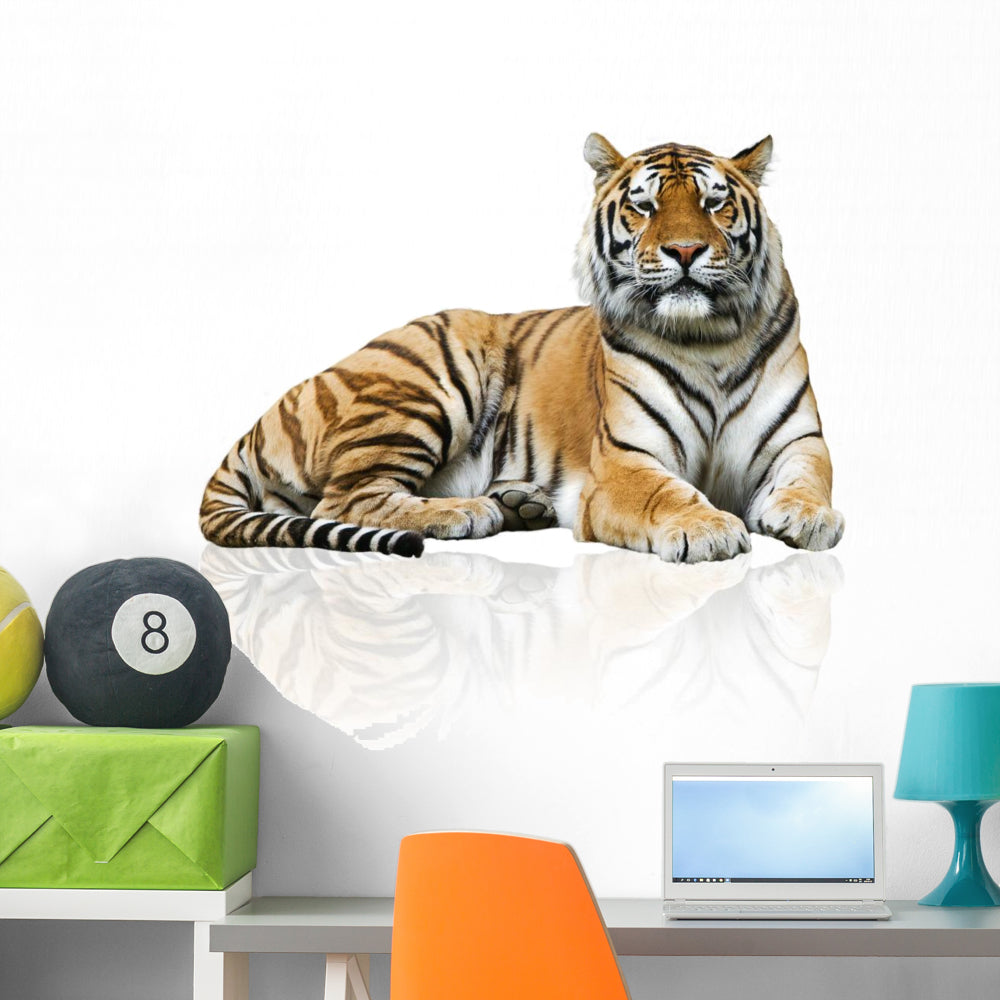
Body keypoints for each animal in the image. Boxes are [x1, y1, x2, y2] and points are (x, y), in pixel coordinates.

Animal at [200, 133, 844, 563]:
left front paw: (809, 518)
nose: (685, 251)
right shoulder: (626, 460)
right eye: (645, 206)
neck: (708, 341)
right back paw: (468, 512)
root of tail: (259, 422)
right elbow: (666, 492)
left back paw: (520, 505)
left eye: (714, 203)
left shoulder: (799, 441)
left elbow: (808, 479)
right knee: (342, 500)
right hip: (430, 383)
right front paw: (708, 528)